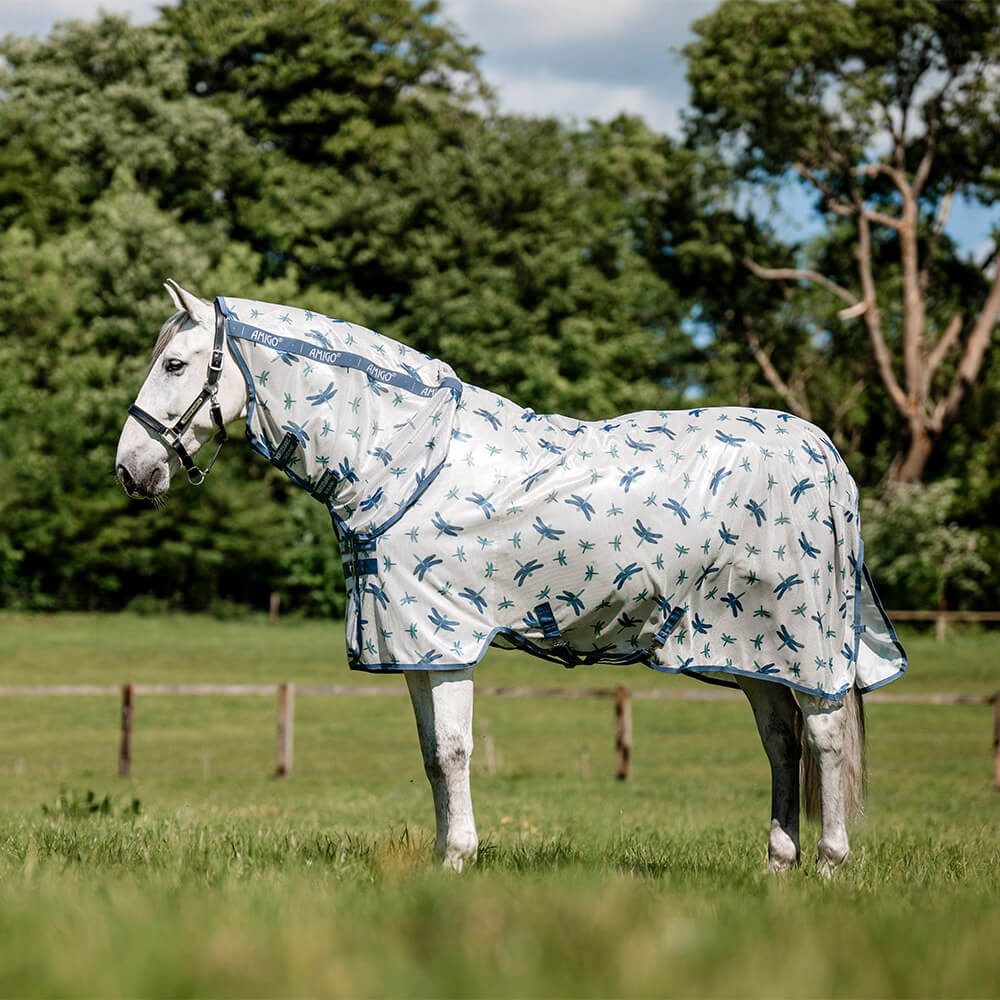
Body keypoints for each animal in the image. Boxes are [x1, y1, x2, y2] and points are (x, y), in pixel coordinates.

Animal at [116, 280, 906, 874]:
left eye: (177, 365)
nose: (131, 470)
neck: (408, 459)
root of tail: (822, 450)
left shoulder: (444, 639)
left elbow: (454, 750)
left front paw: (458, 857)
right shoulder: (414, 649)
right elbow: (432, 756)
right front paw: (444, 859)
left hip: (802, 642)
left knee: (825, 738)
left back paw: (830, 863)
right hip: (750, 649)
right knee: (782, 743)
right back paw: (778, 864)